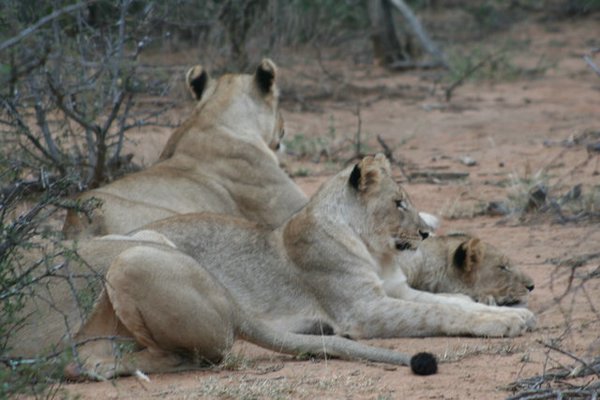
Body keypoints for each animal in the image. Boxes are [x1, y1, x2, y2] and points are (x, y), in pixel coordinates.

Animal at [9, 155, 536, 380]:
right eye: (399, 202)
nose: (425, 234)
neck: (376, 249)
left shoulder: (394, 291)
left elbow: (452, 299)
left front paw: (512, 312)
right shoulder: (363, 312)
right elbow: (443, 311)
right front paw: (508, 321)